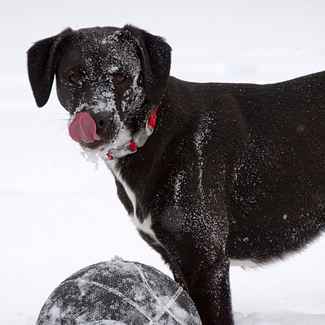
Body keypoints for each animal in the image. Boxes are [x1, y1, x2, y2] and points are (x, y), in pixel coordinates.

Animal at [27, 26, 324, 324]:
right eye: (73, 76)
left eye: (121, 76)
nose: (97, 119)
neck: (154, 130)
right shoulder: (177, 260)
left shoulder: (205, 260)